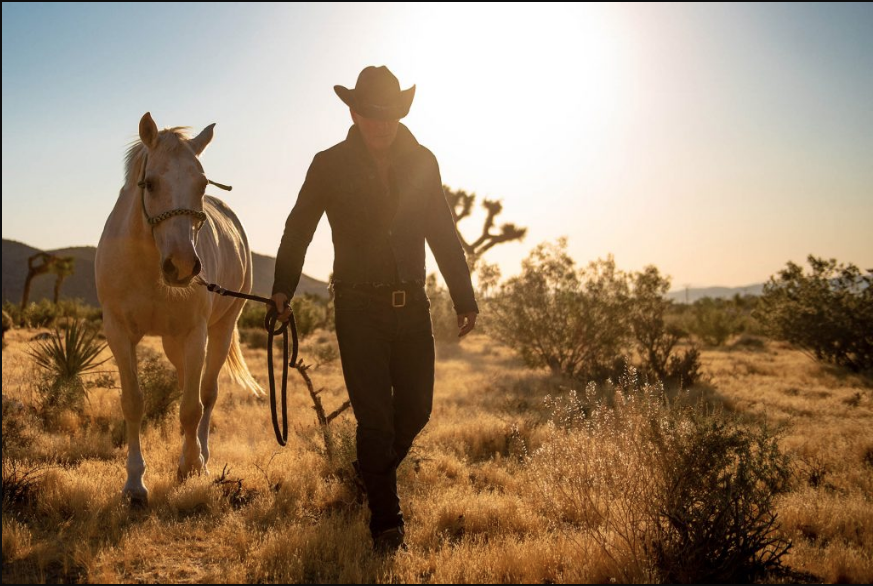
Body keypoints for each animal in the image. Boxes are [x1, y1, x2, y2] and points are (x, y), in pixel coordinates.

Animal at [95, 112, 260, 504]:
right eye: (151, 184)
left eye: (202, 184)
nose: (183, 266)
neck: (149, 266)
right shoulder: (117, 332)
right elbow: (134, 403)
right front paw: (134, 485)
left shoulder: (195, 333)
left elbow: (192, 407)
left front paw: (192, 466)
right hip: (172, 343)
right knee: (188, 382)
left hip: (220, 330)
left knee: (206, 393)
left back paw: (200, 456)